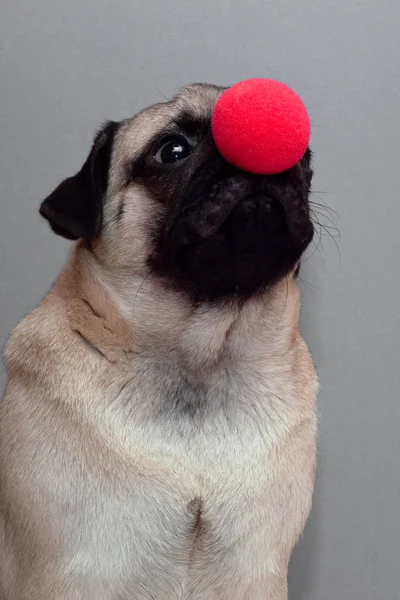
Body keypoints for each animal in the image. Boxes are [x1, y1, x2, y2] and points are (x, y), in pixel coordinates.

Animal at [0, 84, 318, 600]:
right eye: (172, 151)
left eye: (303, 157)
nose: (263, 158)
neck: (200, 362)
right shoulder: (67, 574)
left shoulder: (256, 574)